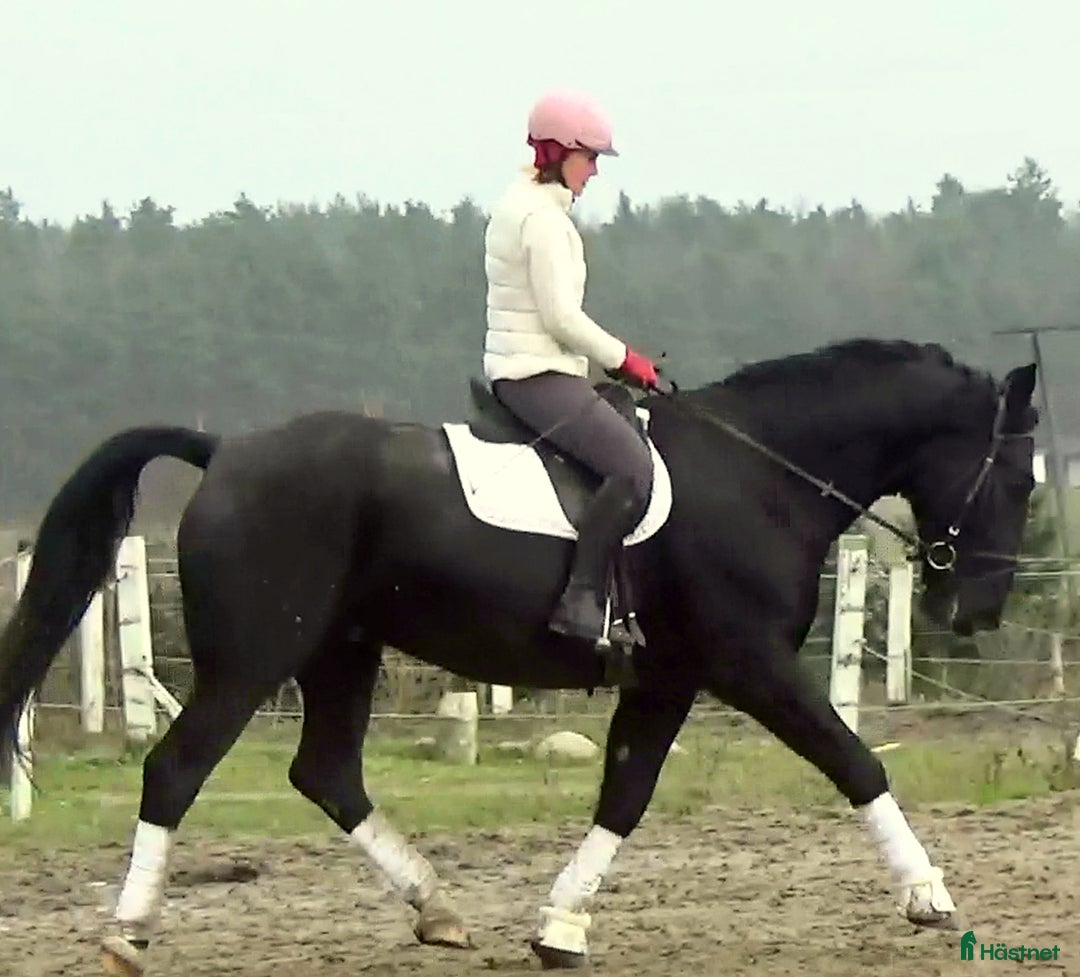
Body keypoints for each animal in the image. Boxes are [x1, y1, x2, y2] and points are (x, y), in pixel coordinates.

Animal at [0, 338, 1039, 974]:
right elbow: (855, 761)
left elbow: (625, 794)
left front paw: (560, 925)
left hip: (341, 652)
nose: (976, 610)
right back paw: (128, 935)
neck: (760, 474)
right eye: (1021, 480)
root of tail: (224, 453)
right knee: (176, 770)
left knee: (327, 771)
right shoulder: (749, 666)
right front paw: (930, 896)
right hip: (256, 659)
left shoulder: (667, 679)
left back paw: (437, 910)